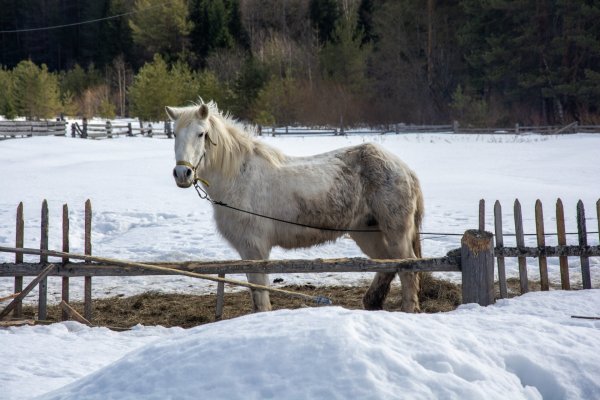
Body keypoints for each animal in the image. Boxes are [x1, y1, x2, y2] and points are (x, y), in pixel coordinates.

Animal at [166, 101, 424, 312]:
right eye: (175, 134)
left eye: (201, 134)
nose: (182, 173)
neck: (239, 177)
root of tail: (405, 169)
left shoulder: (255, 249)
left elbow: (260, 295)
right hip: (367, 232)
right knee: (386, 262)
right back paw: (372, 302)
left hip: (395, 232)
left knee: (407, 268)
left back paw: (408, 309)